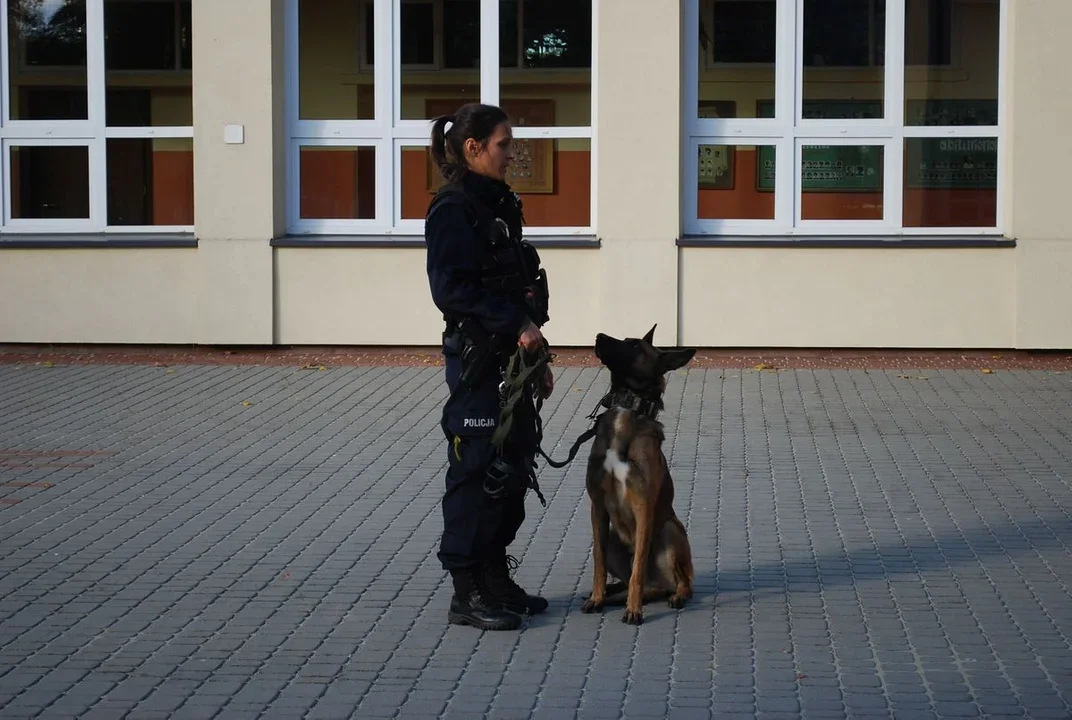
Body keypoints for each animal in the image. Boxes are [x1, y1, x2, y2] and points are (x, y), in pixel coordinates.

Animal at [578, 325, 694, 625]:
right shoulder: (597, 507)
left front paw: (633, 610)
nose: (598, 336)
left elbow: (638, 568)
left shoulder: (644, 507)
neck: (627, 405)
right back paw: (609, 595)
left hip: (670, 530)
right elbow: (598, 562)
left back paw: (674, 596)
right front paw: (597, 598)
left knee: (682, 582)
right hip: (613, 539)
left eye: (633, 346)